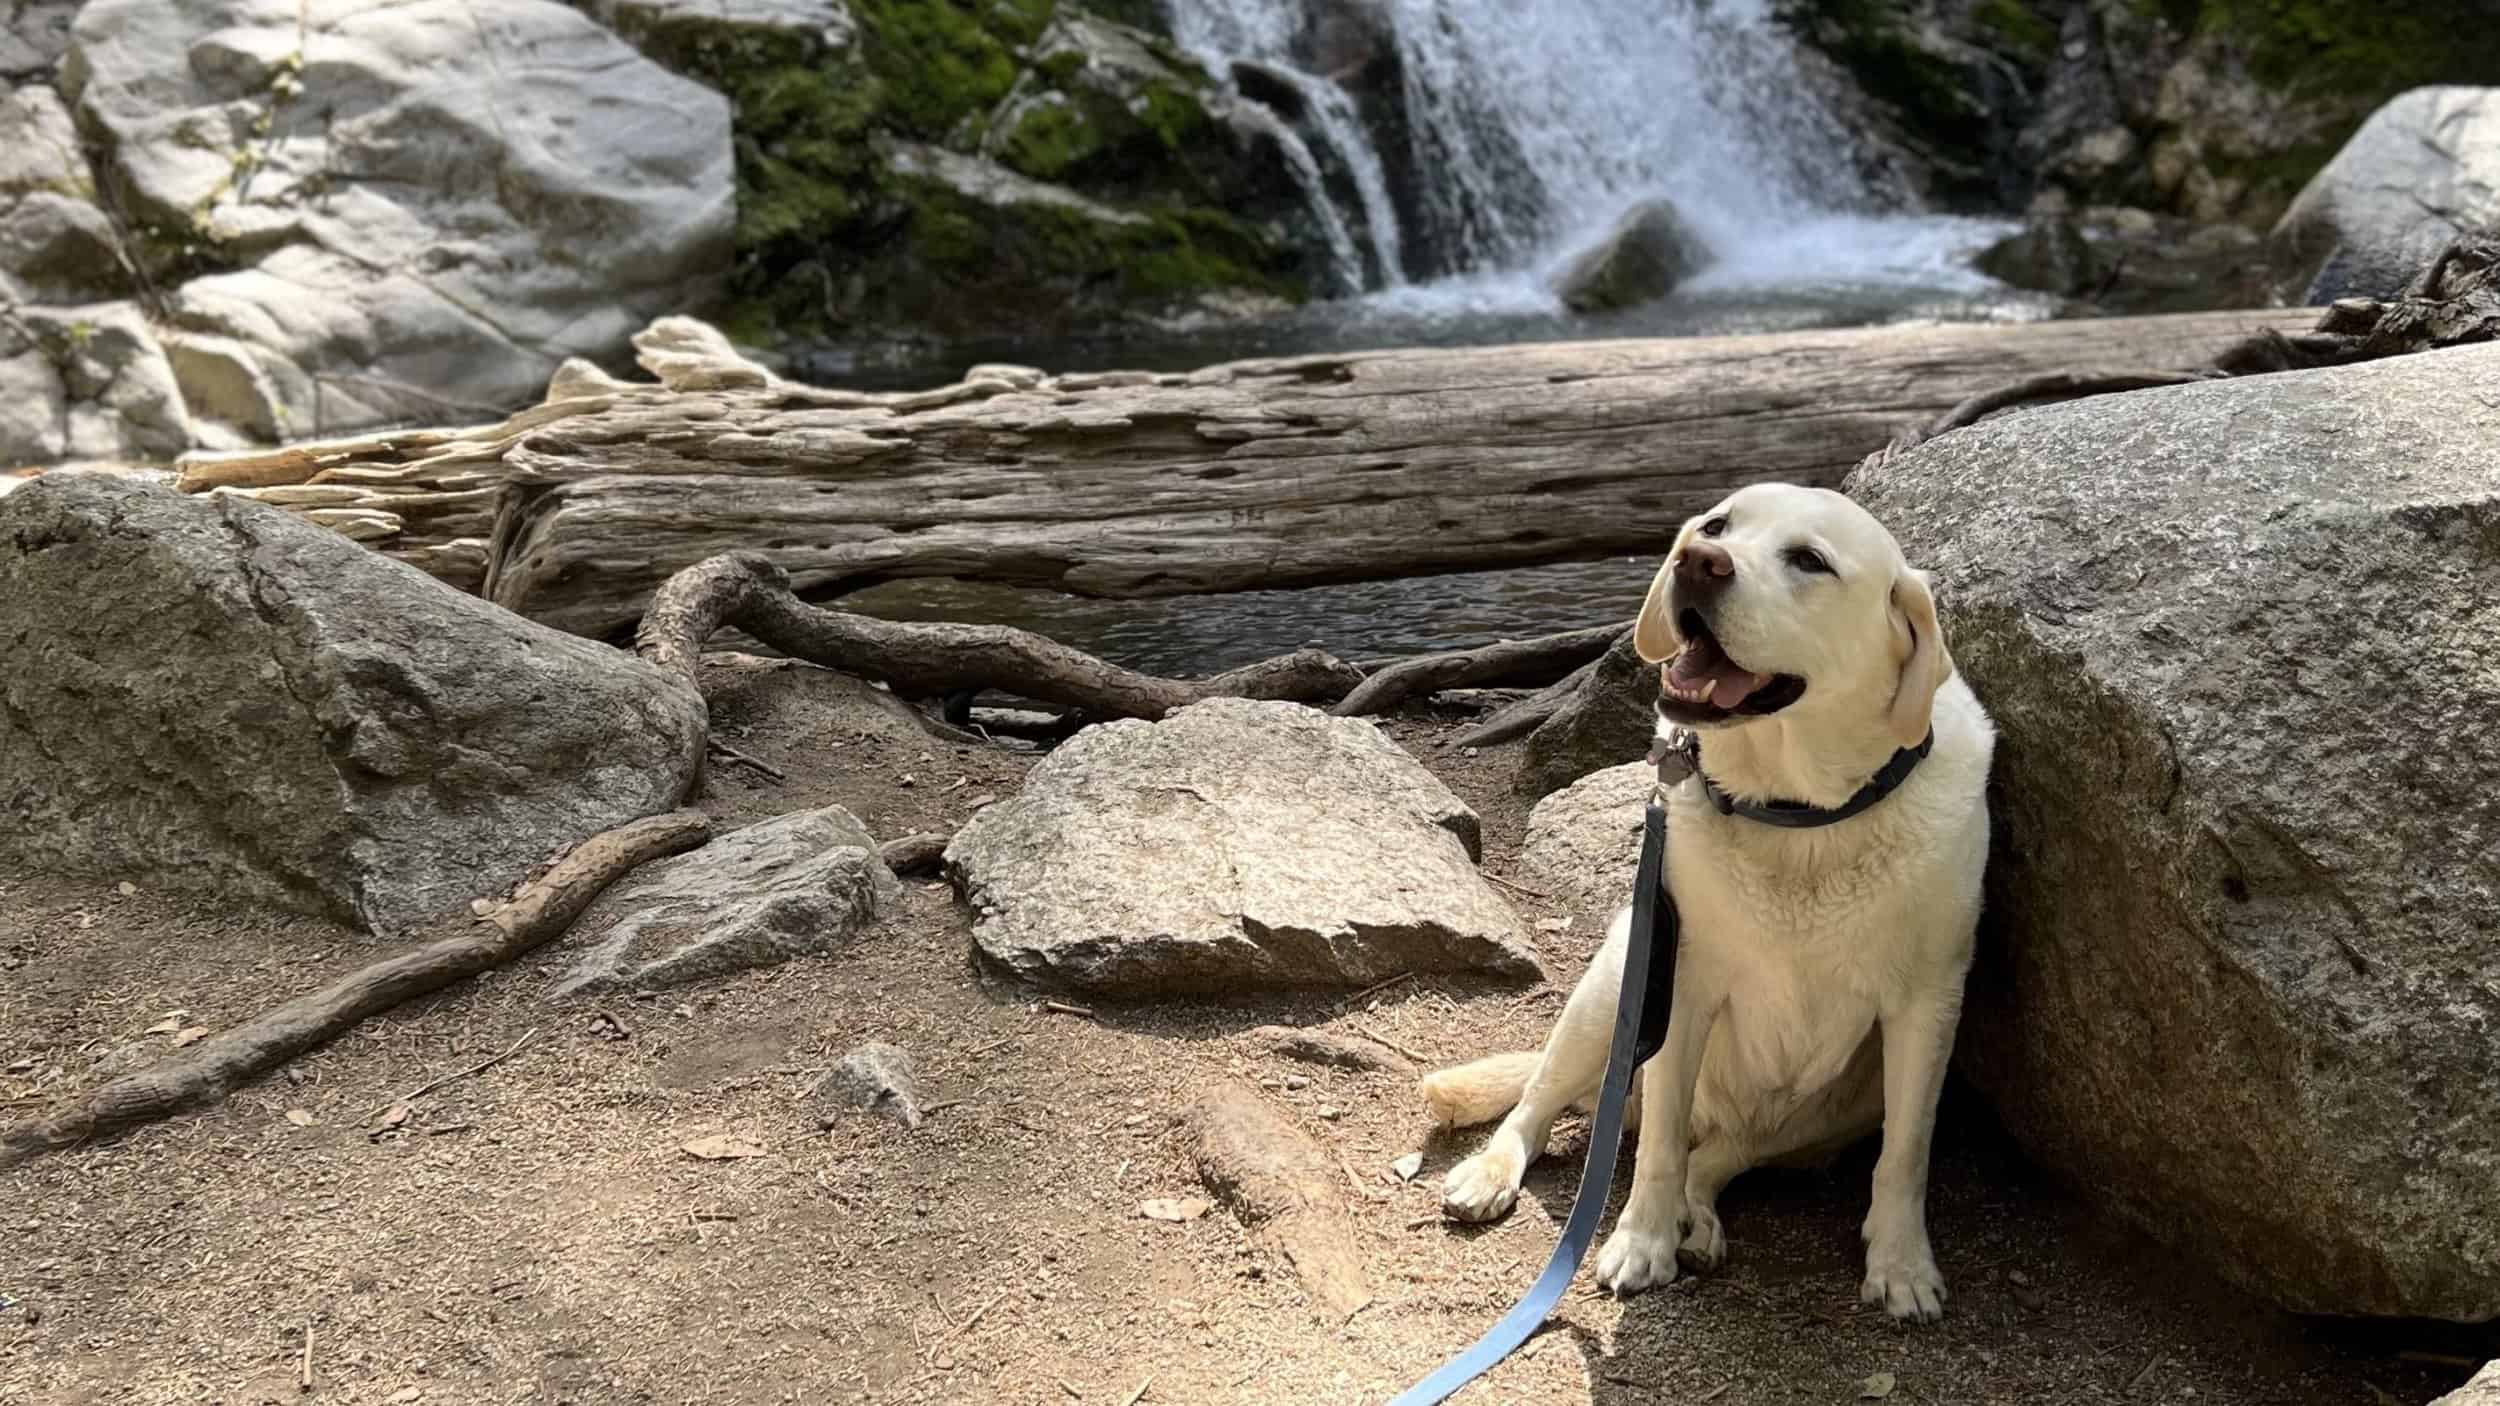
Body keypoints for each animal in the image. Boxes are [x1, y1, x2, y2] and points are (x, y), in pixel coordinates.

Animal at [1430, 477, 1990, 1310]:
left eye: (1810, 560)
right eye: (1719, 526)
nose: (1696, 560)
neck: (1798, 813)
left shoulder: (1929, 1006)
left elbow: (1906, 1153)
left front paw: (1901, 1265)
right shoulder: (1680, 987)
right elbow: (1658, 1144)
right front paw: (1640, 1241)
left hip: (1835, 1104)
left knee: (1720, 1154)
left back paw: (1698, 1220)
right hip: (1612, 989)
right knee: (1542, 1103)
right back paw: (1494, 1174)